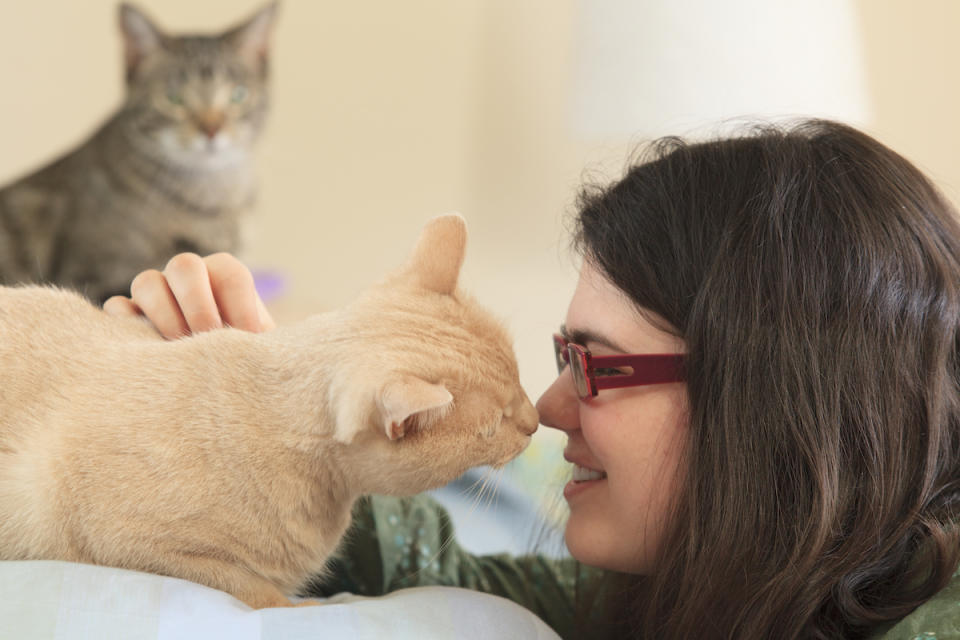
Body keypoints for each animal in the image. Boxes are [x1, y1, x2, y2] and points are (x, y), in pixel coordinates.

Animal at [0, 216, 536, 608]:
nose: (533, 423)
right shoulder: (130, 546)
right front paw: (308, 607)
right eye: (494, 427)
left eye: (520, 380)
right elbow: (256, 593)